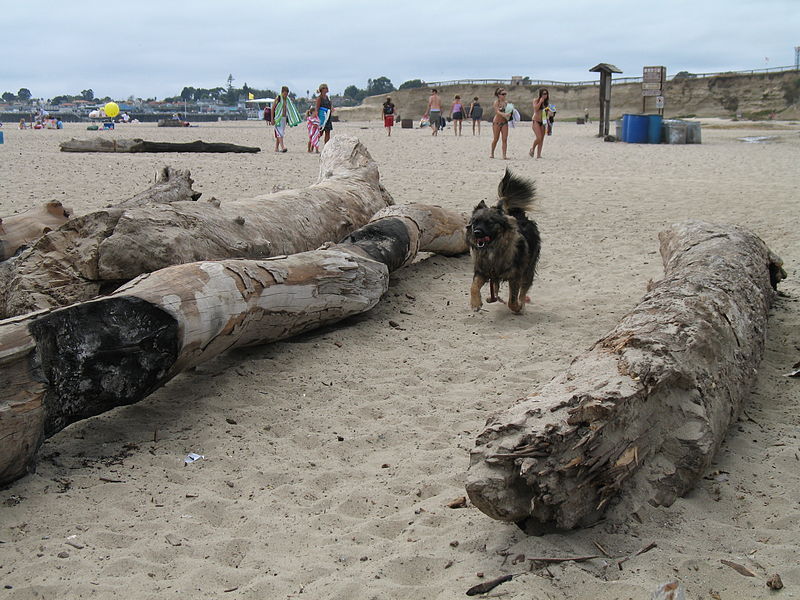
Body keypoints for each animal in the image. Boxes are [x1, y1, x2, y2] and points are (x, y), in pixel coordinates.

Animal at [466, 166, 540, 312]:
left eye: (489, 222)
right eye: (475, 221)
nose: (476, 232)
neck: (492, 249)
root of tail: (518, 213)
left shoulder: (515, 276)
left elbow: (513, 299)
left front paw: (518, 307)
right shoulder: (482, 271)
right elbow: (474, 286)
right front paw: (476, 303)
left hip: (528, 269)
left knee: (523, 289)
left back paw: (521, 304)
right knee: (495, 285)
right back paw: (492, 298)